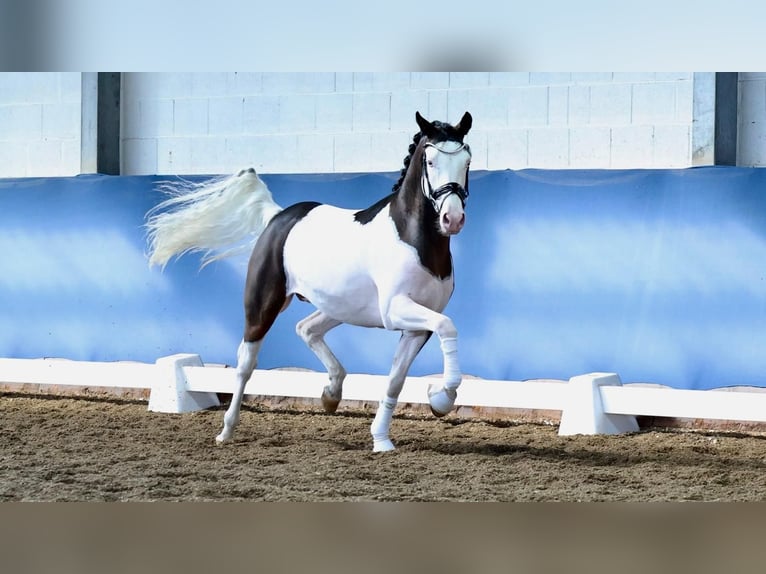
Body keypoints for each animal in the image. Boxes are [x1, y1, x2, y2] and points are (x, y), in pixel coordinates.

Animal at [146, 111, 474, 454]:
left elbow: (396, 379)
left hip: (338, 307)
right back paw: (227, 430)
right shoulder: (396, 311)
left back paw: (331, 395)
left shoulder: (418, 325)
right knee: (246, 362)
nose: (452, 219)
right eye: (431, 160)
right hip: (264, 306)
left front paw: (385, 437)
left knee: (306, 329)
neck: (413, 240)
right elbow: (448, 327)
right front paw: (440, 398)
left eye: (466, 160)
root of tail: (278, 216)